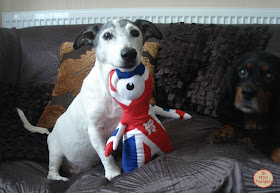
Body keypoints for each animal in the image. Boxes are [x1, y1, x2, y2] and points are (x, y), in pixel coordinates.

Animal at [17, 19, 162, 181]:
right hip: (56, 153)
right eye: (107, 36)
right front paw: (112, 173)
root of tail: (51, 130)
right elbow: (105, 155)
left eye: (135, 32)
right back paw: (60, 178)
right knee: (51, 172)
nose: (129, 53)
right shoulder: (95, 130)